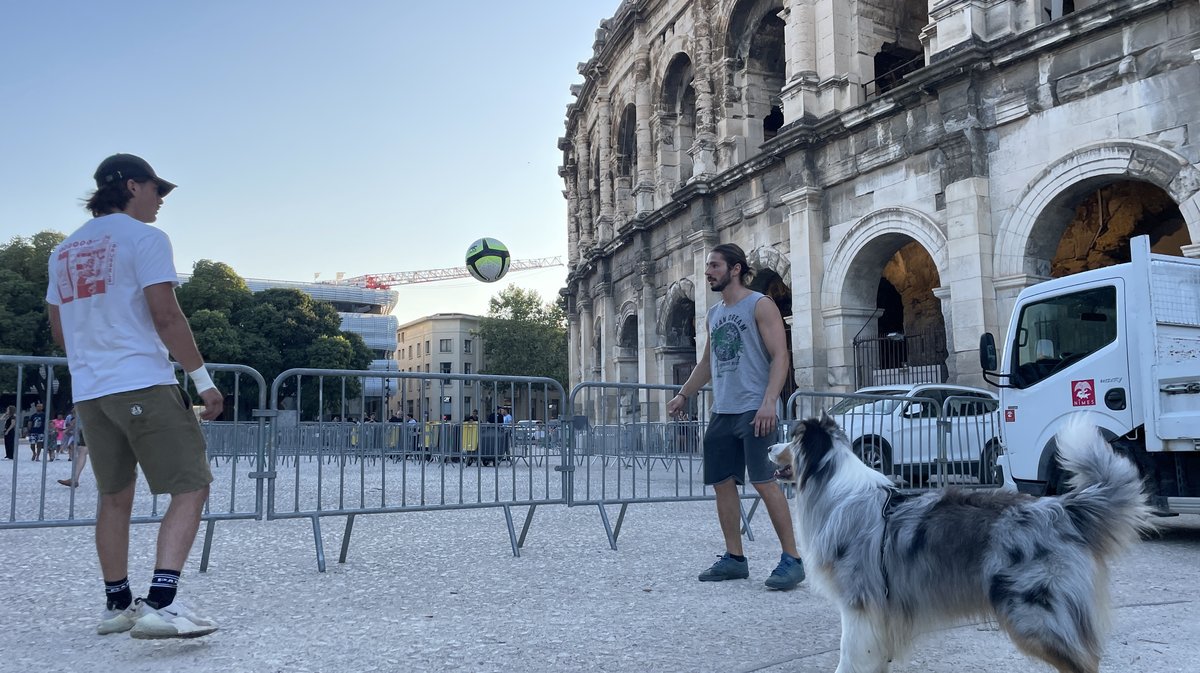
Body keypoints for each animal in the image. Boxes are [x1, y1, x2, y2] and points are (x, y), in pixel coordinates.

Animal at [768, 410, 1152, 671]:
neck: (833, 485)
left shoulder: (859, 604)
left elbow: (849, 657)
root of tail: (1061, 508)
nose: (770, 445)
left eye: (792, 439)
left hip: (1034, 612)